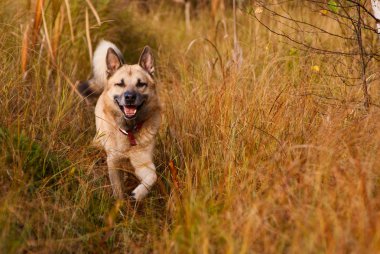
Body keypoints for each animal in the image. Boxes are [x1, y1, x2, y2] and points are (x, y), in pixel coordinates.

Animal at [76, 39, 161, 201]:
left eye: (141, 84)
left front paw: (137, 194)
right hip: (98, 140)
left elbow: (153, 177)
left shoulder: (143, 163)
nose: (129, 97)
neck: (129, 131)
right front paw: (120, 204)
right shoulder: (113, 162)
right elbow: (118, 189)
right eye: (120, 84)